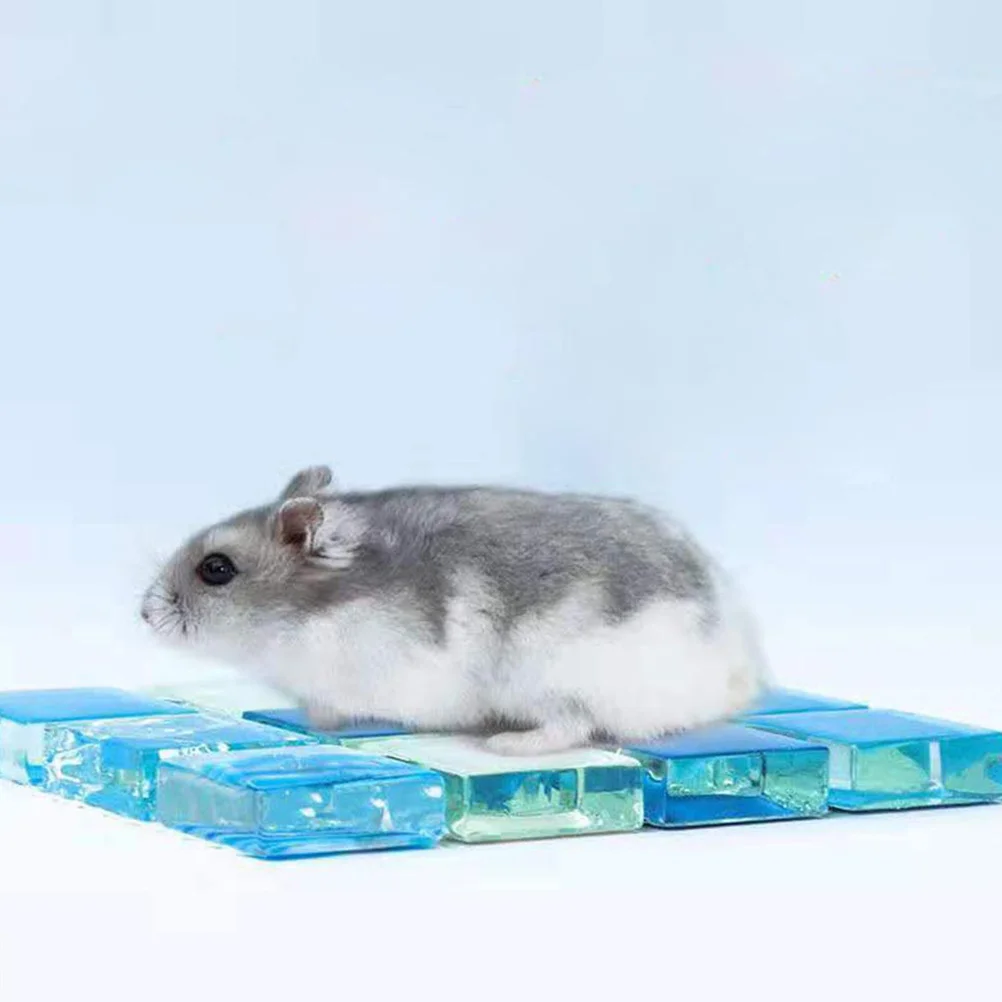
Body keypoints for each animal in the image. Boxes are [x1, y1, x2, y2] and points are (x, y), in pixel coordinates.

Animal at [141, 466, 766, 754]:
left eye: (216, 569)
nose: (145, 615)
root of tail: (733, 668)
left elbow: (330, 708)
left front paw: (316, 724)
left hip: (553, 679)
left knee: (572, 725)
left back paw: (505, 744)